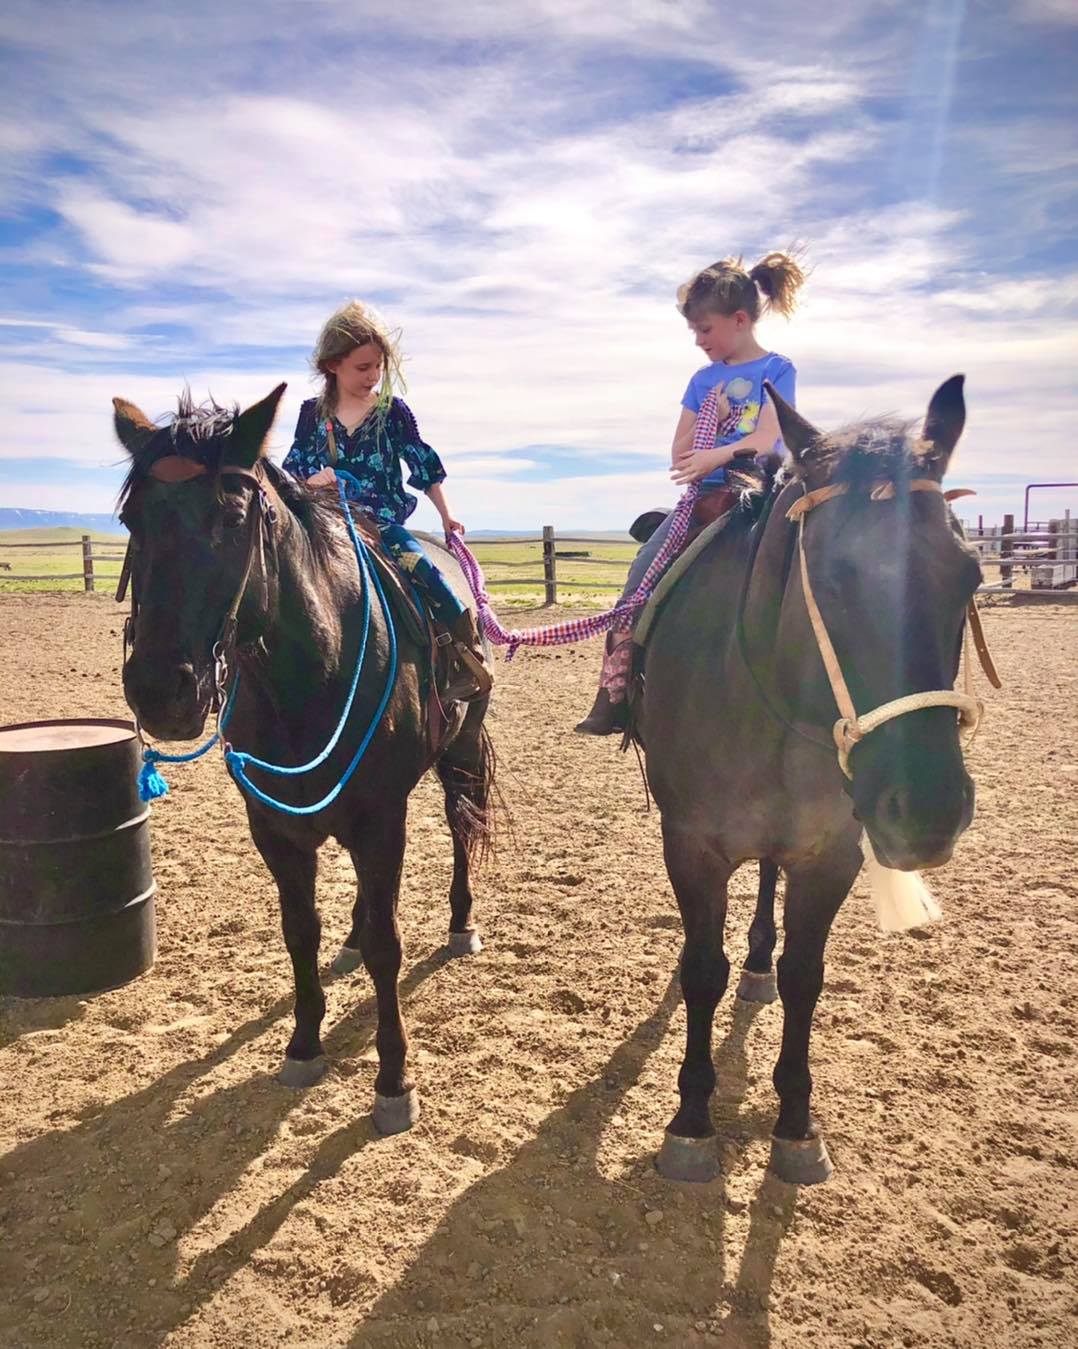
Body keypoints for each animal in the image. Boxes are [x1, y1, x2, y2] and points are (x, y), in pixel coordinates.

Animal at [113, 384, 495, 1135]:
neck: (308, 672)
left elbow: (387, 946)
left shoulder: (381, 820)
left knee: (462, 827)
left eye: (232, 516)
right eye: (131, 517)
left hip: (459, 755)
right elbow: (299, 932)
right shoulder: (276, 827)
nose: (160, 689)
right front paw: (304, 1043)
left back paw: (462, 924)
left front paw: (393, 1080)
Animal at [640, 375, 983, 1185]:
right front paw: (691, 1119)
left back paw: (759, 962)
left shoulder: (830, 855)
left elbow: (805, 975)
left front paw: (796, 1123)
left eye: (972, 574)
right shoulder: (691, 848)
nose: (927, 811)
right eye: (830, 578)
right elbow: (701, 969)